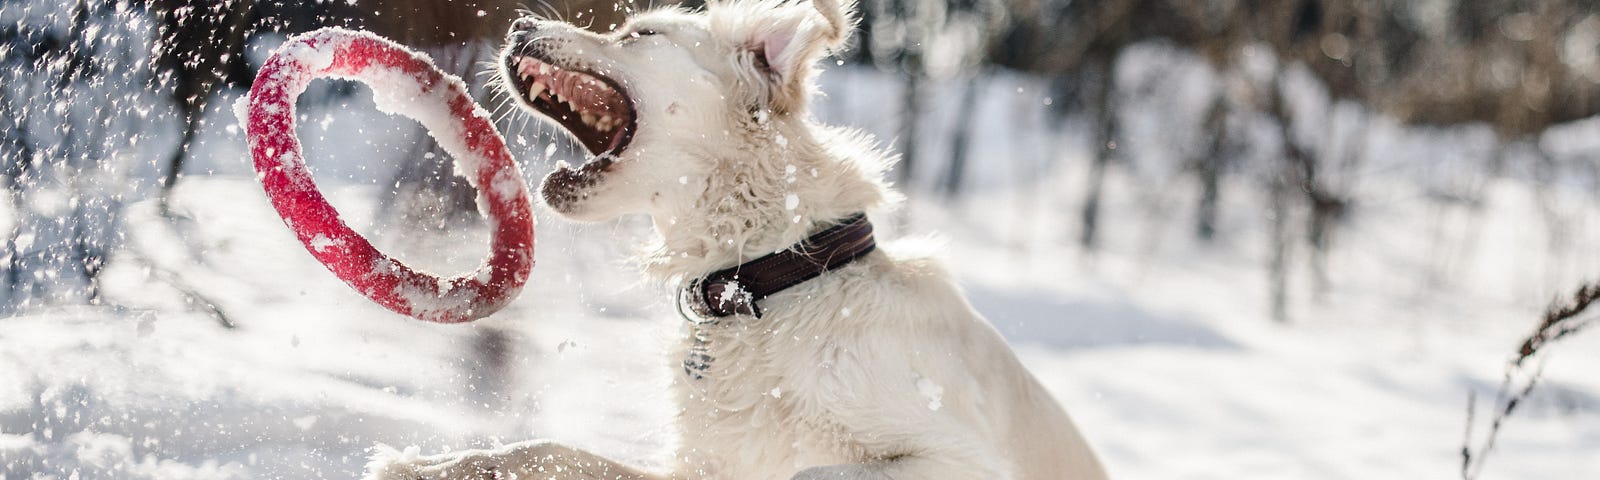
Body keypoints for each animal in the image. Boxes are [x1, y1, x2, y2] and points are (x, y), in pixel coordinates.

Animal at [368, 1, 1107, 476]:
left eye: (640, 33)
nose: (520, 22)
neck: (772, 279)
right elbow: (549, 450)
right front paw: (428, 464)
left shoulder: (953, 454)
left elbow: (816, 471)